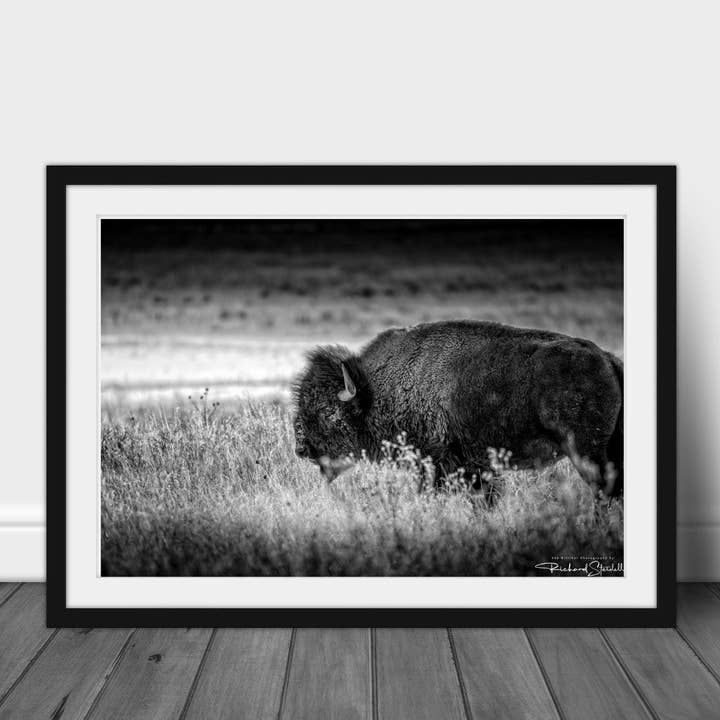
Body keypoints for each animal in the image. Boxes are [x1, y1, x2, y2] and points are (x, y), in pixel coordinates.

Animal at [292, 320, 623, 495]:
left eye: (328, 412)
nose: (301, 448)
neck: (375, 392)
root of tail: (608, 359)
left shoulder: (438, 466)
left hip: (586, 452)